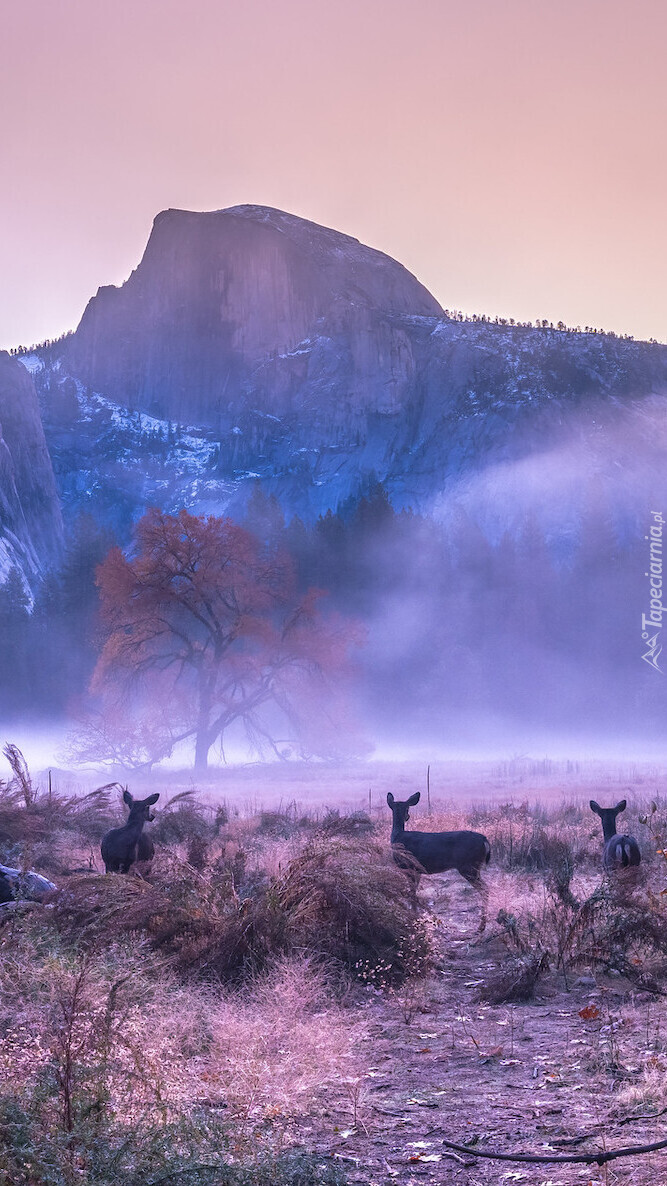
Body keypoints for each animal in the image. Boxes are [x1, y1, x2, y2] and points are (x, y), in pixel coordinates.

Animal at [384, 792, 488, 929]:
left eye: (407, 808)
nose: (407, 816)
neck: (397, 836)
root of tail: (485, 839)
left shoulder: (409, 867)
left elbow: (412, 893)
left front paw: (413, 917)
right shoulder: (417, 870)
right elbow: (414, 892)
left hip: (469, 866)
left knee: (485, 889)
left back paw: (481, 925)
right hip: (475, 867)